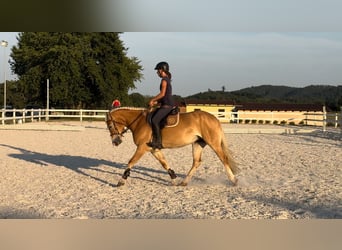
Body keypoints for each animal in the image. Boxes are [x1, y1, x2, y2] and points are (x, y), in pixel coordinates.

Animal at [105, 106, 239, 187]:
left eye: (110, 126)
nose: (115, 142)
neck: (139, 122)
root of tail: (214, 118)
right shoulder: (154, 149)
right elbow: (164, 163)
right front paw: (174, 179)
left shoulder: (142, 148)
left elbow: (131, 162)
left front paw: (121, 181)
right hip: (197, 143)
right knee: (196, 162)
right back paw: (183, 182)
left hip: (213, 143)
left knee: (223, 159)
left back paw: (233, 180)